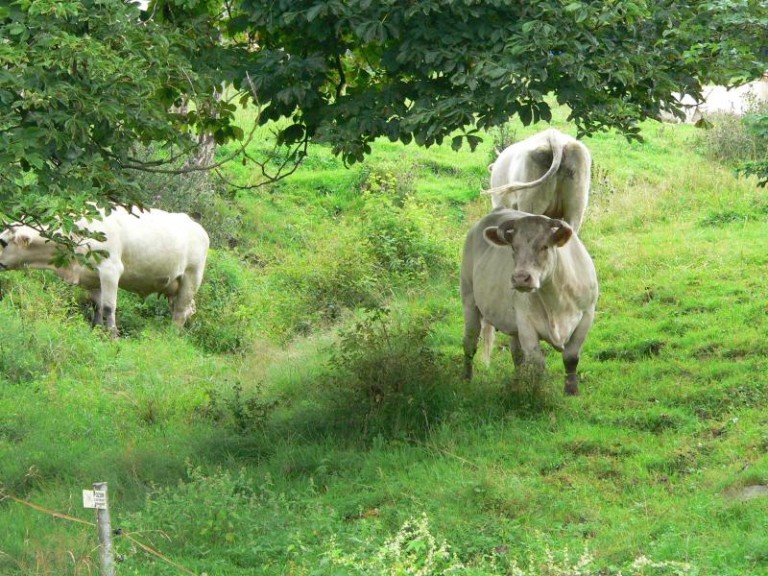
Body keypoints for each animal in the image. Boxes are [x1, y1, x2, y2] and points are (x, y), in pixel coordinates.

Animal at [0, 207, 210, 336]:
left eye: (3, 242)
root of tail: (197, 227)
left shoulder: (110, 269)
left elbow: (109, 307)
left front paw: (113, 336)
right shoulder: (91, 277)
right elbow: (97, 306)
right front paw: (96, 330)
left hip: (191, 278)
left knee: (181, 312)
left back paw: (171, 336)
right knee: (186, 309)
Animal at [462, 208, 600, 396]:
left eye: (544, 246)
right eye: (514, 247)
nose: (520, 278)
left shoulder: (587, 315)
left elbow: (571, 357)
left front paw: (571, 391)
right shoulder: (526, 323)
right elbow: (537, 364)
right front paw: (538, 392)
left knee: (517, 354)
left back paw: (517, 382)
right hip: (469, 300)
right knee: (470, 344)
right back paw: (466, 379)